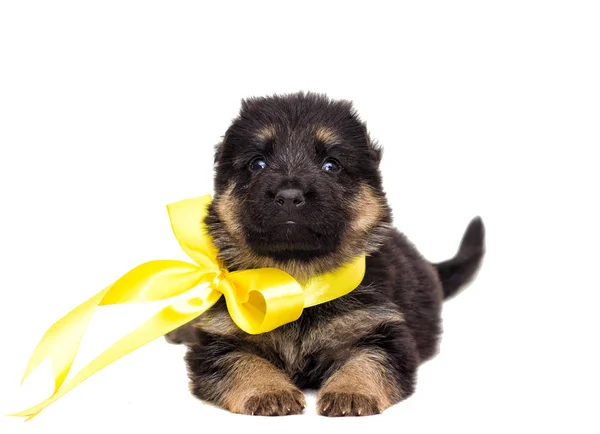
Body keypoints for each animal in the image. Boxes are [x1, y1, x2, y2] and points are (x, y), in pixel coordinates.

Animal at [166, 91, 486, 418]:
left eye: (331, 165)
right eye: (258, 163)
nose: (289, 197)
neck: (297, 280)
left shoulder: (384, 334)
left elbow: (368, 360)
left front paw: (352, 391)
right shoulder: (221, 339)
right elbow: (243, 362)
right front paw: (269, 389)